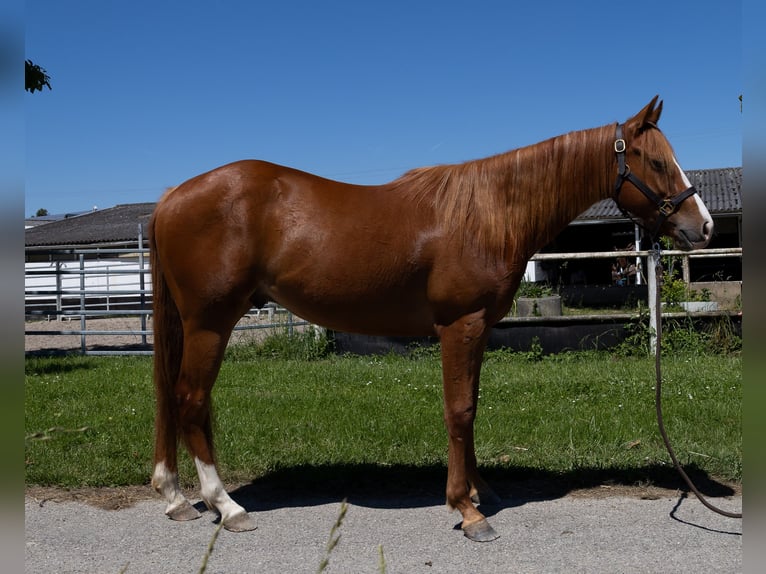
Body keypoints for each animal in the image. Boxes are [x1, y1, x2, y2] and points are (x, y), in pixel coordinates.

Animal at [148, 96, 713, 541]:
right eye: (657, 161)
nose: (703, 226)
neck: (487, 213)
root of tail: (173, 196)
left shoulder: (479, 329)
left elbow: (473, 408)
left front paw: (481, 491)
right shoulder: (459, 326)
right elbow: (458, 410)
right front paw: (467, 509)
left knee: (175, 400)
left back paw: (175, 498)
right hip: (210, 324)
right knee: (190, 400)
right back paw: (226, 505)